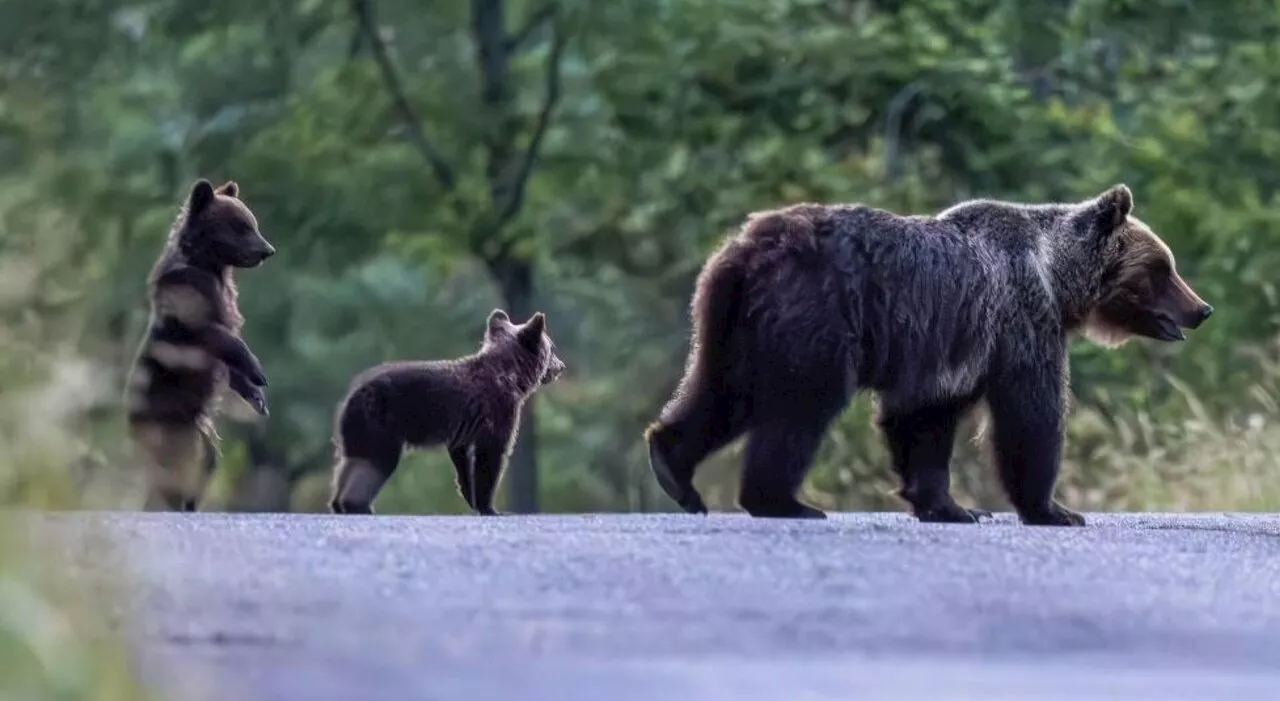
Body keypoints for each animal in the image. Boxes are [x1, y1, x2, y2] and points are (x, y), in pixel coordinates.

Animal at [124, 177, 275, 511]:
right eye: (241, 226)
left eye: (252, 223)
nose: (267, 250)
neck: (210, 265)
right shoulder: (188, 299)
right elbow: (219, 336)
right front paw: (258, 372)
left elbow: (229, 358)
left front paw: (256, 396)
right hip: (169, 425)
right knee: (174, 470)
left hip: (201, 436)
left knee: (204, 465)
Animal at [330, 309, 565, 516]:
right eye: (552, 348)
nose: (561, 366)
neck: (512, 378)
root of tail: (353, 393)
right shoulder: (497, 416)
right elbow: (490, 459)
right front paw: (489, 507)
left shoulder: (463, 430)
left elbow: (462, 461)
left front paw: (471, 499)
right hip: (381, 423)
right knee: (375, 463)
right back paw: (357, 505)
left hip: (357, 430)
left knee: (350, 462)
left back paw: (338, 504)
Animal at [645, 186, 1213, 527]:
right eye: (1163, 268)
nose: (1200, 309)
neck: (1057, 278)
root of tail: (746, 249)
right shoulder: (1020, 320)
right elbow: (1029, 414)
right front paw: (1055, 509)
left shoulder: (952, 351)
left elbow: (925, 421)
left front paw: (951, 506)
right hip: (816, 312)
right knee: (802, 405)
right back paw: (784, 501)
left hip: (733, 325)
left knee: (722, 392)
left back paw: (674, 470)